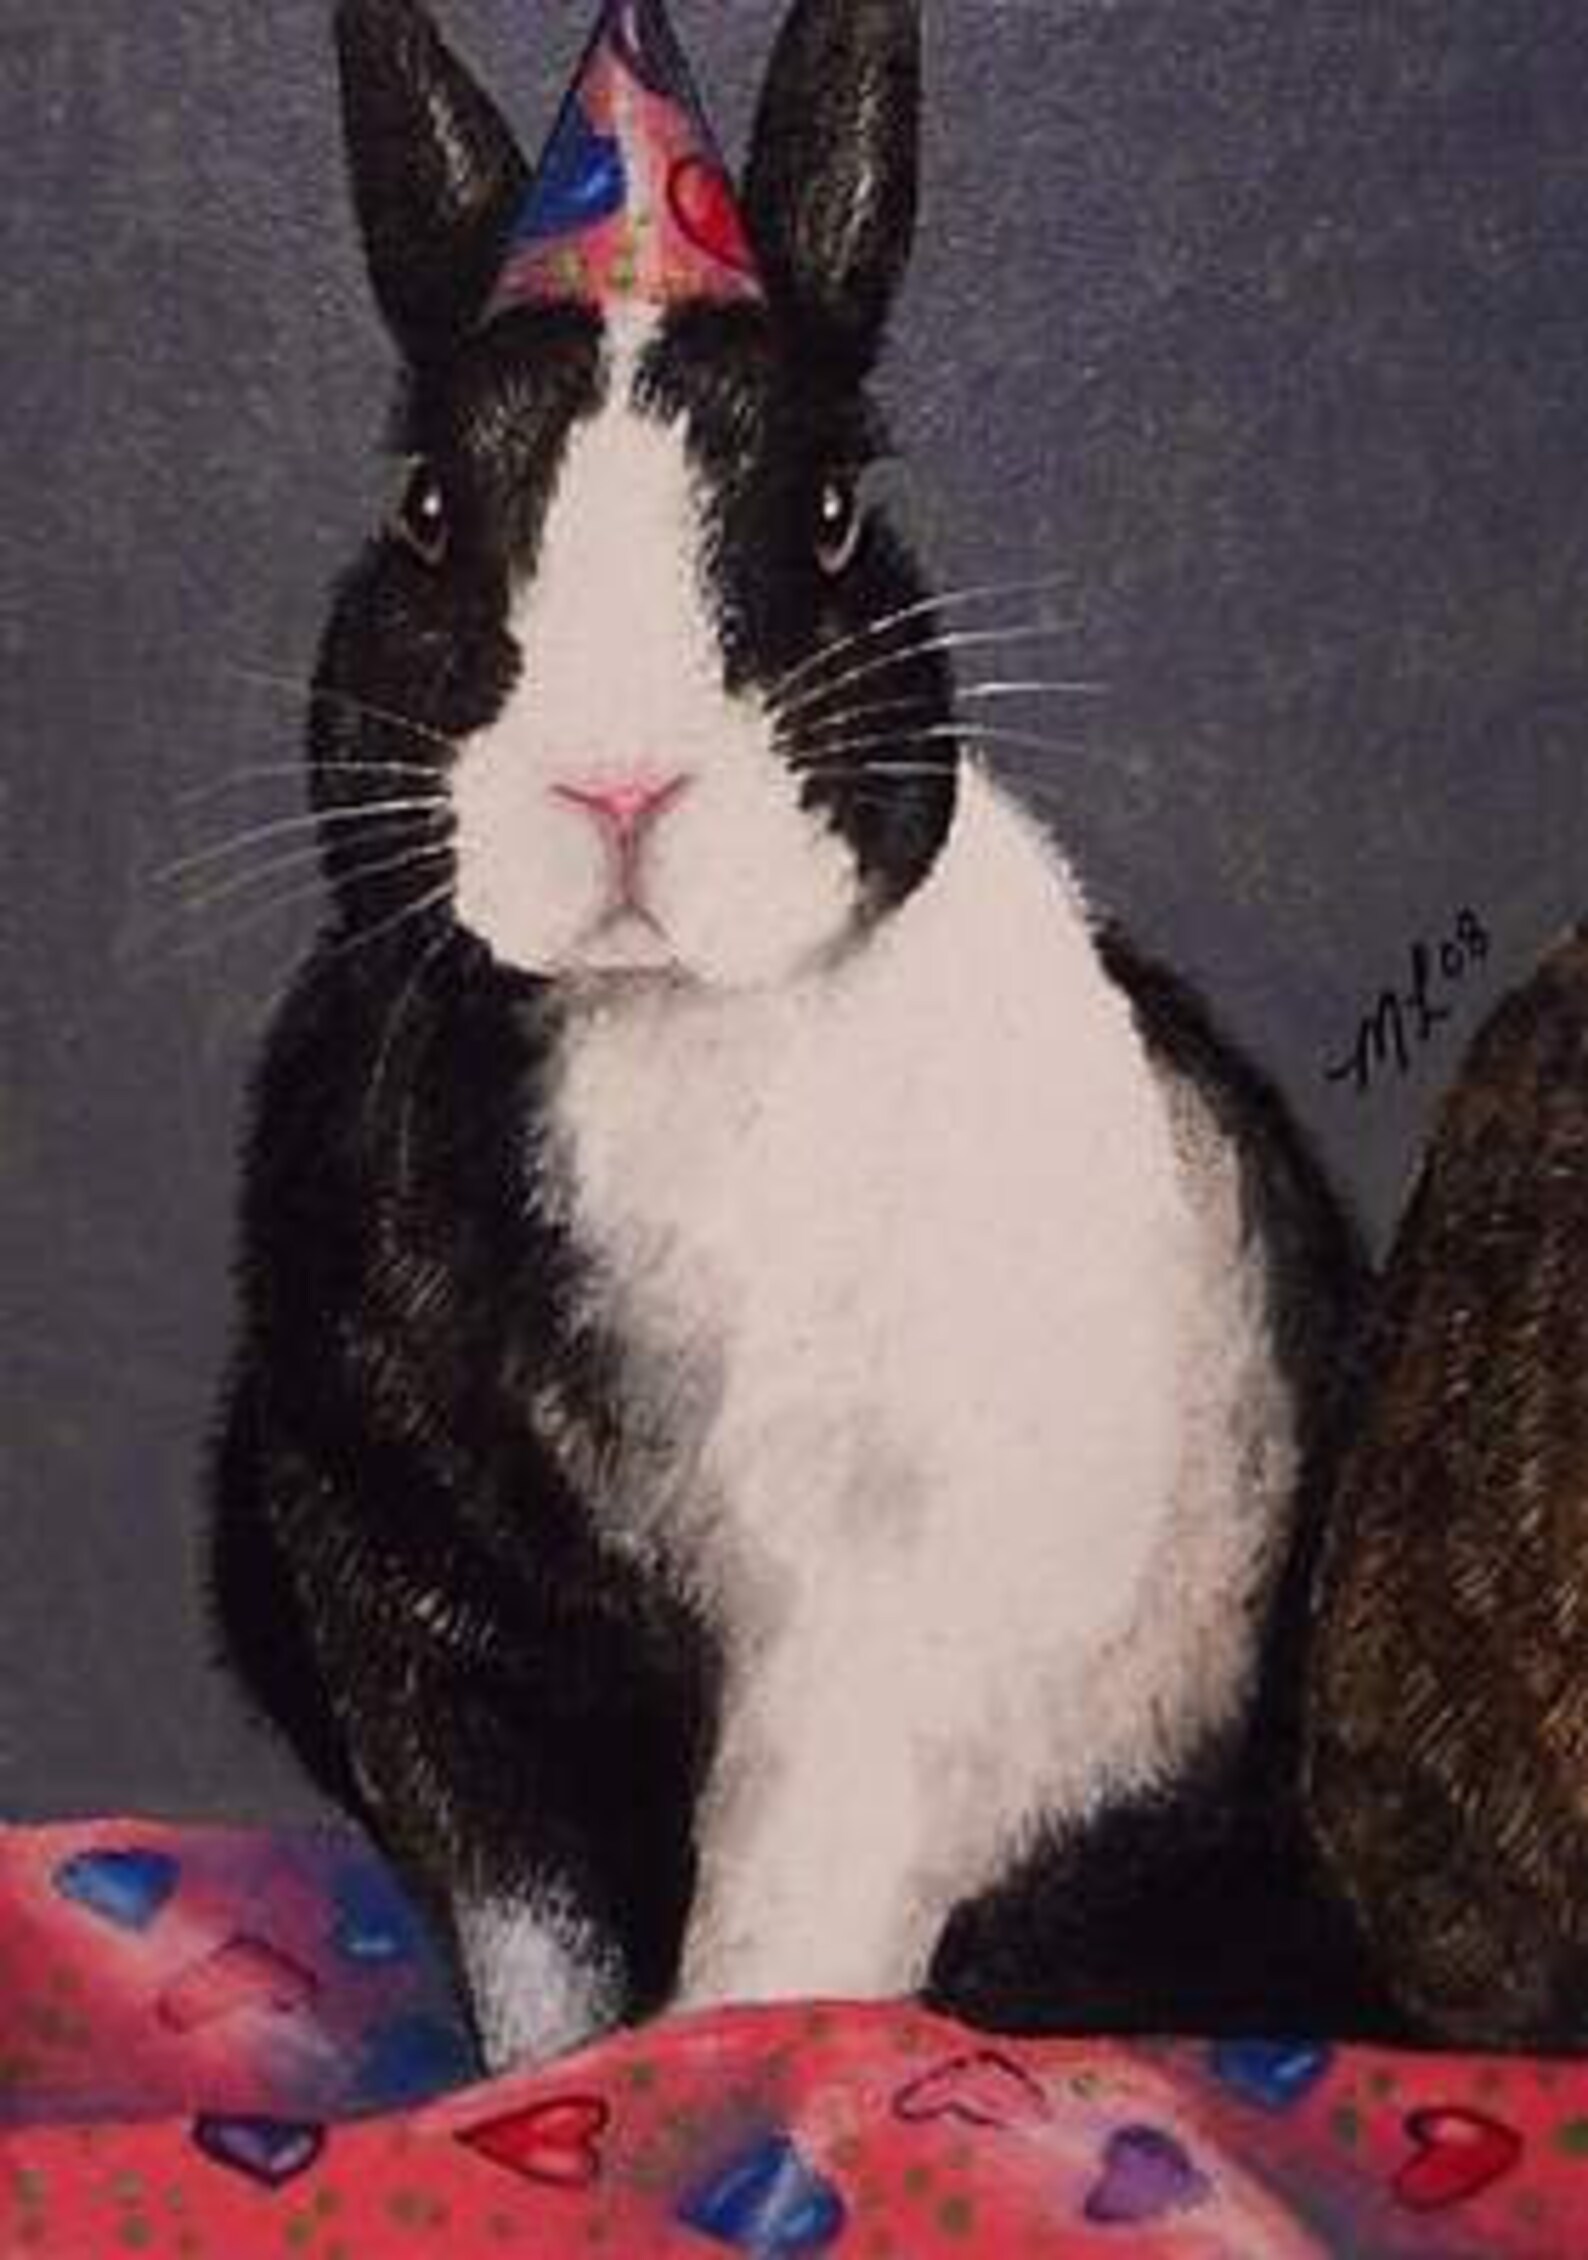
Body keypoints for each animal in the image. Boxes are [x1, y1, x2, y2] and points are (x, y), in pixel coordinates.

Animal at [213, 0, 1382, 2074]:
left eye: (829, 517)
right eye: (426, 514)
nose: (616, 786)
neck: (647, 1029)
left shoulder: (865, 1654)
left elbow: (774, 1934)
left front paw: (715, 2085)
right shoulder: (420, 1637)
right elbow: (536, 1963)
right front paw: (546, 2103)